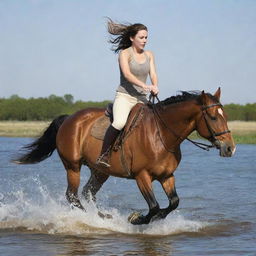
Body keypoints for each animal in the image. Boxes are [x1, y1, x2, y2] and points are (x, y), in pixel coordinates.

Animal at [13, 87, 234, 224]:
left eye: (225, 115)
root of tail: (69, 119)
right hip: (73, 166)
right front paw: (137, 219)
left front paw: (156, 219)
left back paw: (104, 217)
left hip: (100, 171)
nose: (230, 148)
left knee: (87, 193)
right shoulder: (142, 176)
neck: (162, 135)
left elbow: (173, 202)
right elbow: (154, 206)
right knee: (72, 196)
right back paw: (91, 219)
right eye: (213, 117)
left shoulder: (166, 176)